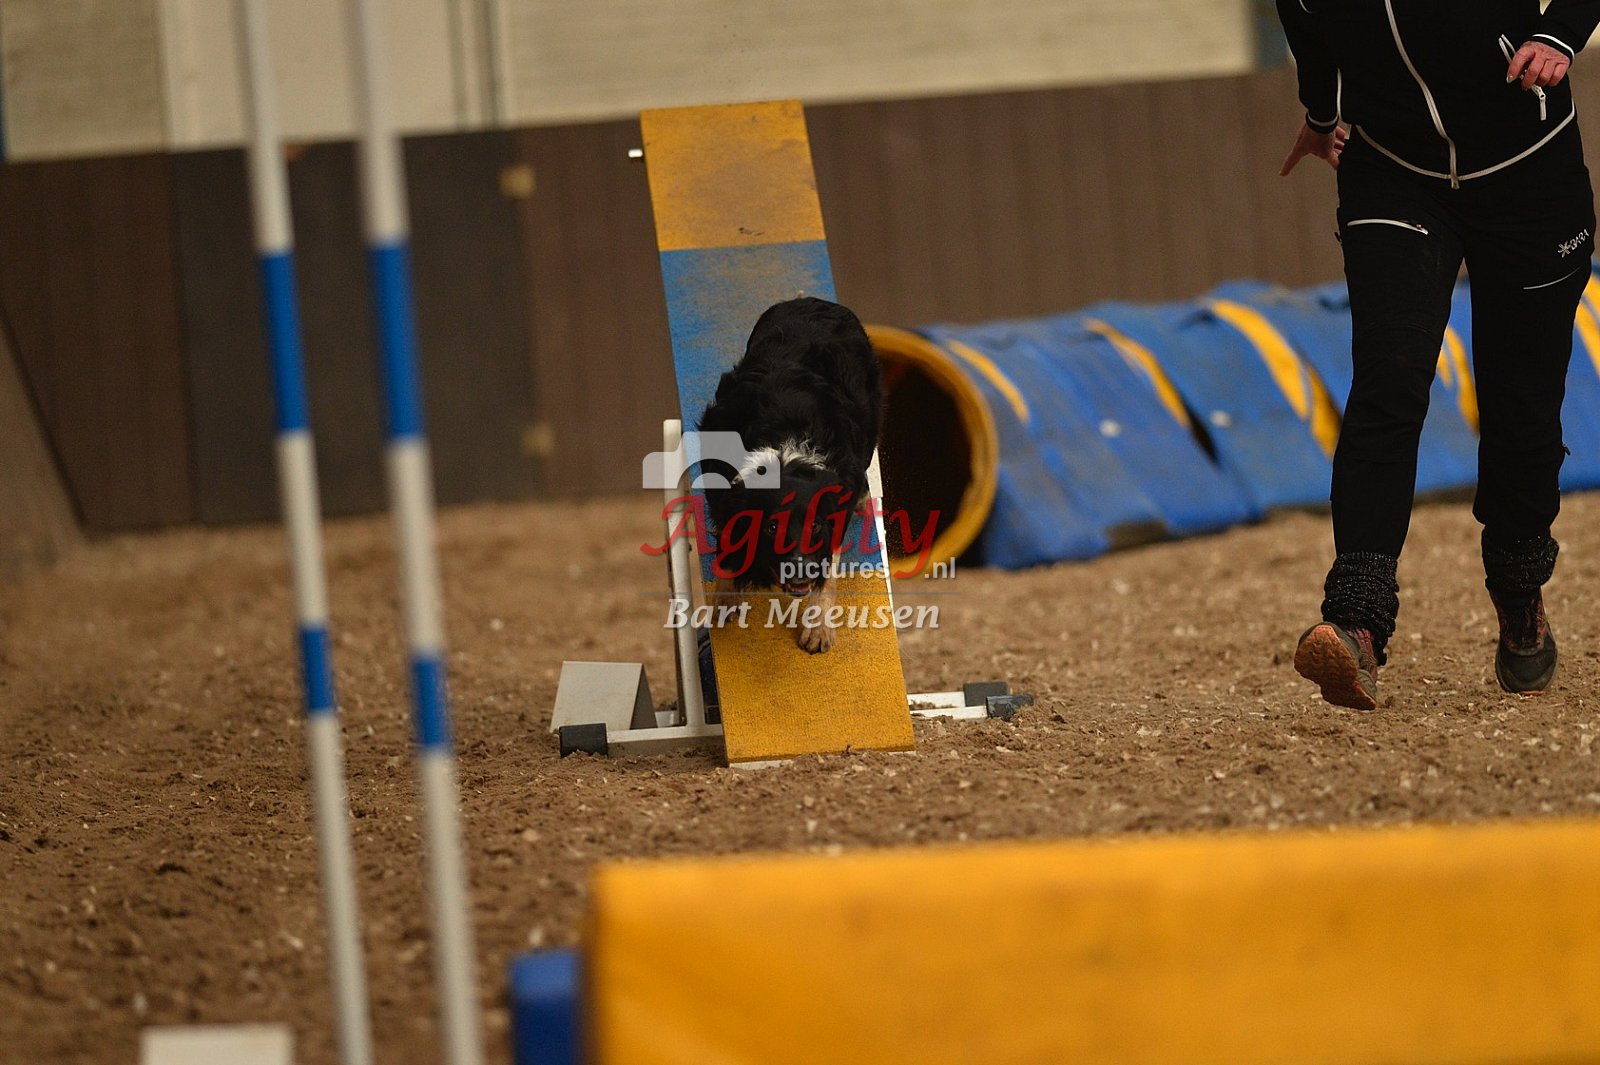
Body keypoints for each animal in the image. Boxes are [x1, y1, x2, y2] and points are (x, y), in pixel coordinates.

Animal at [696, 296, 881, 653]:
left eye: (815, 525)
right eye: (771, 527)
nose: (800, 572)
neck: (785, 452)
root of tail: (811, 300)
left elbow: (828, 566)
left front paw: (818, 628)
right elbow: (727, 539)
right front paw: (726, 598)